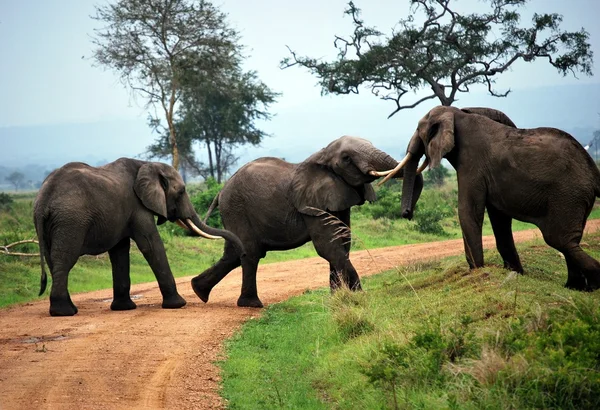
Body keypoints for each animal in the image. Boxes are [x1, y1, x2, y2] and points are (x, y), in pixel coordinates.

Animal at [32, 158, 244, 318]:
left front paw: (124, 308)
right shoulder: (138, 206)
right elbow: (150, 244)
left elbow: (120, 251)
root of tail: (44, 199)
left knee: (54, 260)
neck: (147, 165)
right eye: (182, 191)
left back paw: (68, 309)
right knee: (65, 259)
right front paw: (178, 304)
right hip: (71, 221)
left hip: (54, 224)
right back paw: (64, 312)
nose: (242, 251)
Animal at [191, 135, 422, 308]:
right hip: (237, 208)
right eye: (346, 158)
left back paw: (199, 291)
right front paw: (359, 297)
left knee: (235, 253)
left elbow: (343, 242)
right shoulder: (311, 203)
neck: (323, 155)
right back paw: (251, 304)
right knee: (249, 252)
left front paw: (338, 298)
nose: (407, 213)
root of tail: (220, 191)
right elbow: (328, 246)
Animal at [382, 105, 600, 292]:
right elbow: (499, 217)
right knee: (568, 241)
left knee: (559, 239)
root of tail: (593, 172)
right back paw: (574, 287)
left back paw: (592, 282)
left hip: (567, 196)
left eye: (419, 130)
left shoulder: (471, 161)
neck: (456, 114)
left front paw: (476, 271)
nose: (407, 214)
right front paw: (514, 273)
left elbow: (468, 210)